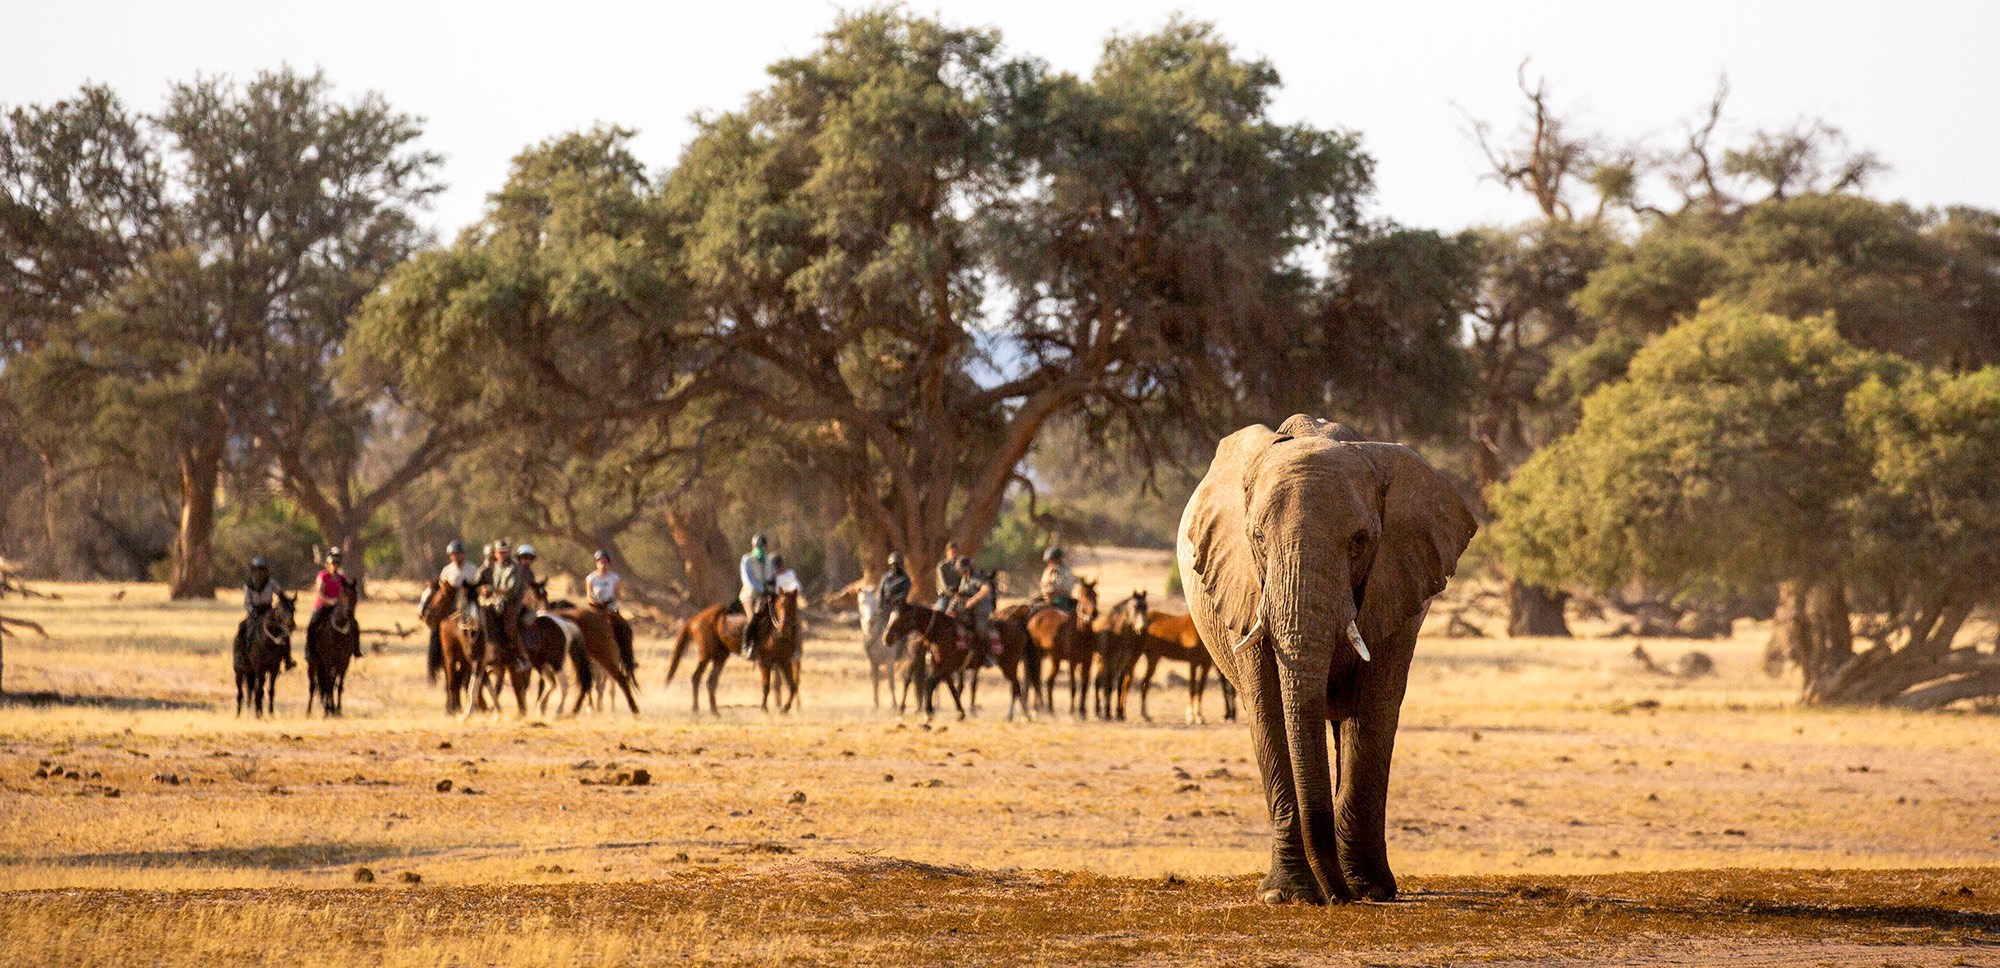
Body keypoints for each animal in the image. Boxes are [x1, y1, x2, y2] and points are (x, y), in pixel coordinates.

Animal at [233, 588, 292, 720]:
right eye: (281, 609)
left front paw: (270, 713)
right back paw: (238, 713)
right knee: (241, 692)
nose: (291, 625)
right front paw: (258, 713)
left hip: (252, 672)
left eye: (294, 609)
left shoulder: (273, 669)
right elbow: (259, 691)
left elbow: (270, 690)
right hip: (240, 672)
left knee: (251, 690)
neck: (268, 642)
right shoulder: (260, 668)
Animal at [1024, 580, 1104, 716]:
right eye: (1083, 595)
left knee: (1048, 680)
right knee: (1034, 678)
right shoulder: (1072, 662)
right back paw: (1036, 707)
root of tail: (1033, 619)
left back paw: (1050, 709)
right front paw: (1072, 710)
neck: (1081, 633)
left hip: (1054, 659)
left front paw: (1082, 711)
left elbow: (1084, 685)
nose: (1092, 614)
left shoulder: (1087, 661)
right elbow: (1073, 686)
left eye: (1096, 595)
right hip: (1036, 655)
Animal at [1168, 416, 1472, 908]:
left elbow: (1373, 713)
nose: (1337, 898)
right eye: (1257, 538)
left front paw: (1370, 890)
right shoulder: (1245, 588)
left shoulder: (1398, 584)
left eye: (1360, 542)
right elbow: (1270, 711)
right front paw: (1286, 895)